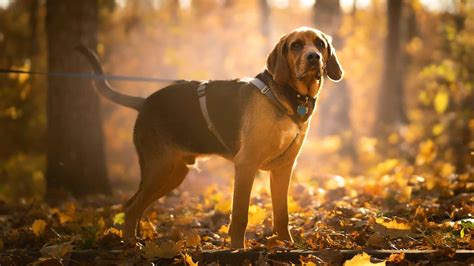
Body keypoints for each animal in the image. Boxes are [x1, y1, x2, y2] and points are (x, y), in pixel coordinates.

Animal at [79, 26, 342, 248]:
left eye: (320, 44)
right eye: (296, 45)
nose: (313, 58)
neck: (288, 95)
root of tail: (144, 103)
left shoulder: (284, 168)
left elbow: (282, 214)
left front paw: (287, 245)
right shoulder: (246, 165)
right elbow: (240, 216)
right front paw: (237, 249)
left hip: (173, 173)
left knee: (136, 206)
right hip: (159, 168)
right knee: (131, 207)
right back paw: (131, 245)